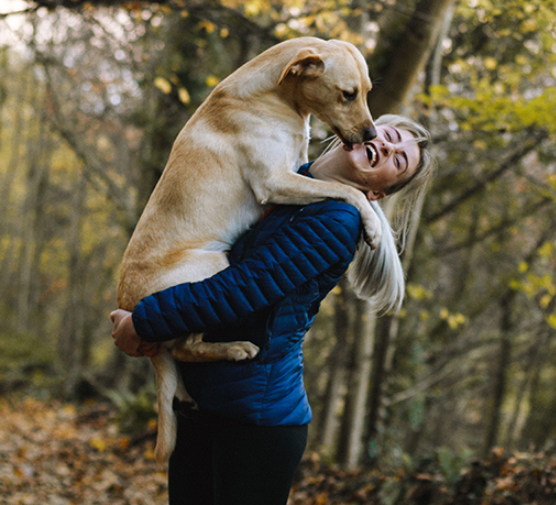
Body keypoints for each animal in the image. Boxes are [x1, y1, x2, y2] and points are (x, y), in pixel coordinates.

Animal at [116, 36, 378, 464]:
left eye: (367, 92)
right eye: (348, 94)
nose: (372, 135)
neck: (274, 95)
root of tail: (128, 304)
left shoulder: (297, 168)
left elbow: (336, 184)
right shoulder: (276, 181)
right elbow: (346, 190)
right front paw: (371, 222)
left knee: (178, 357)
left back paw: (185, 394)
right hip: (210, 265)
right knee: (187, 347)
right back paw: (235, 349)